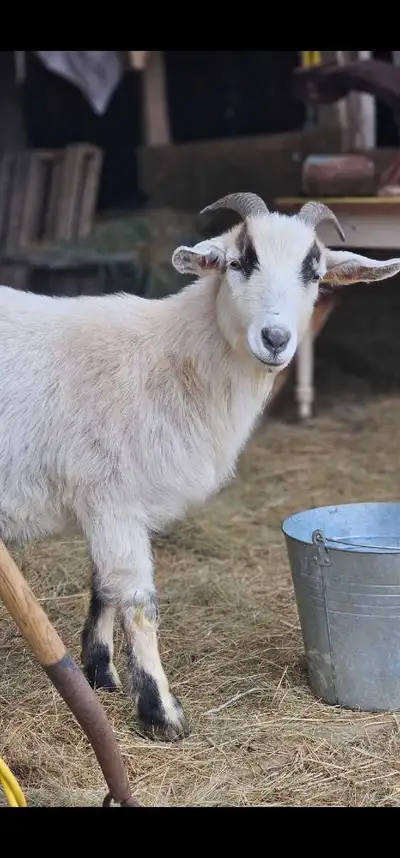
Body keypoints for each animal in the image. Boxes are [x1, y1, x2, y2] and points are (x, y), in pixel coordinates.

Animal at [1, 192, 400, 741]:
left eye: (315, 273)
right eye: (238, 262)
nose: (275, 338)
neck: (170, 358)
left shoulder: (107, 504)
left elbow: (104, 585)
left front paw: (101, 673)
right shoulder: (111, 496)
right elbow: (139, 605)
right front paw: (161, 713)